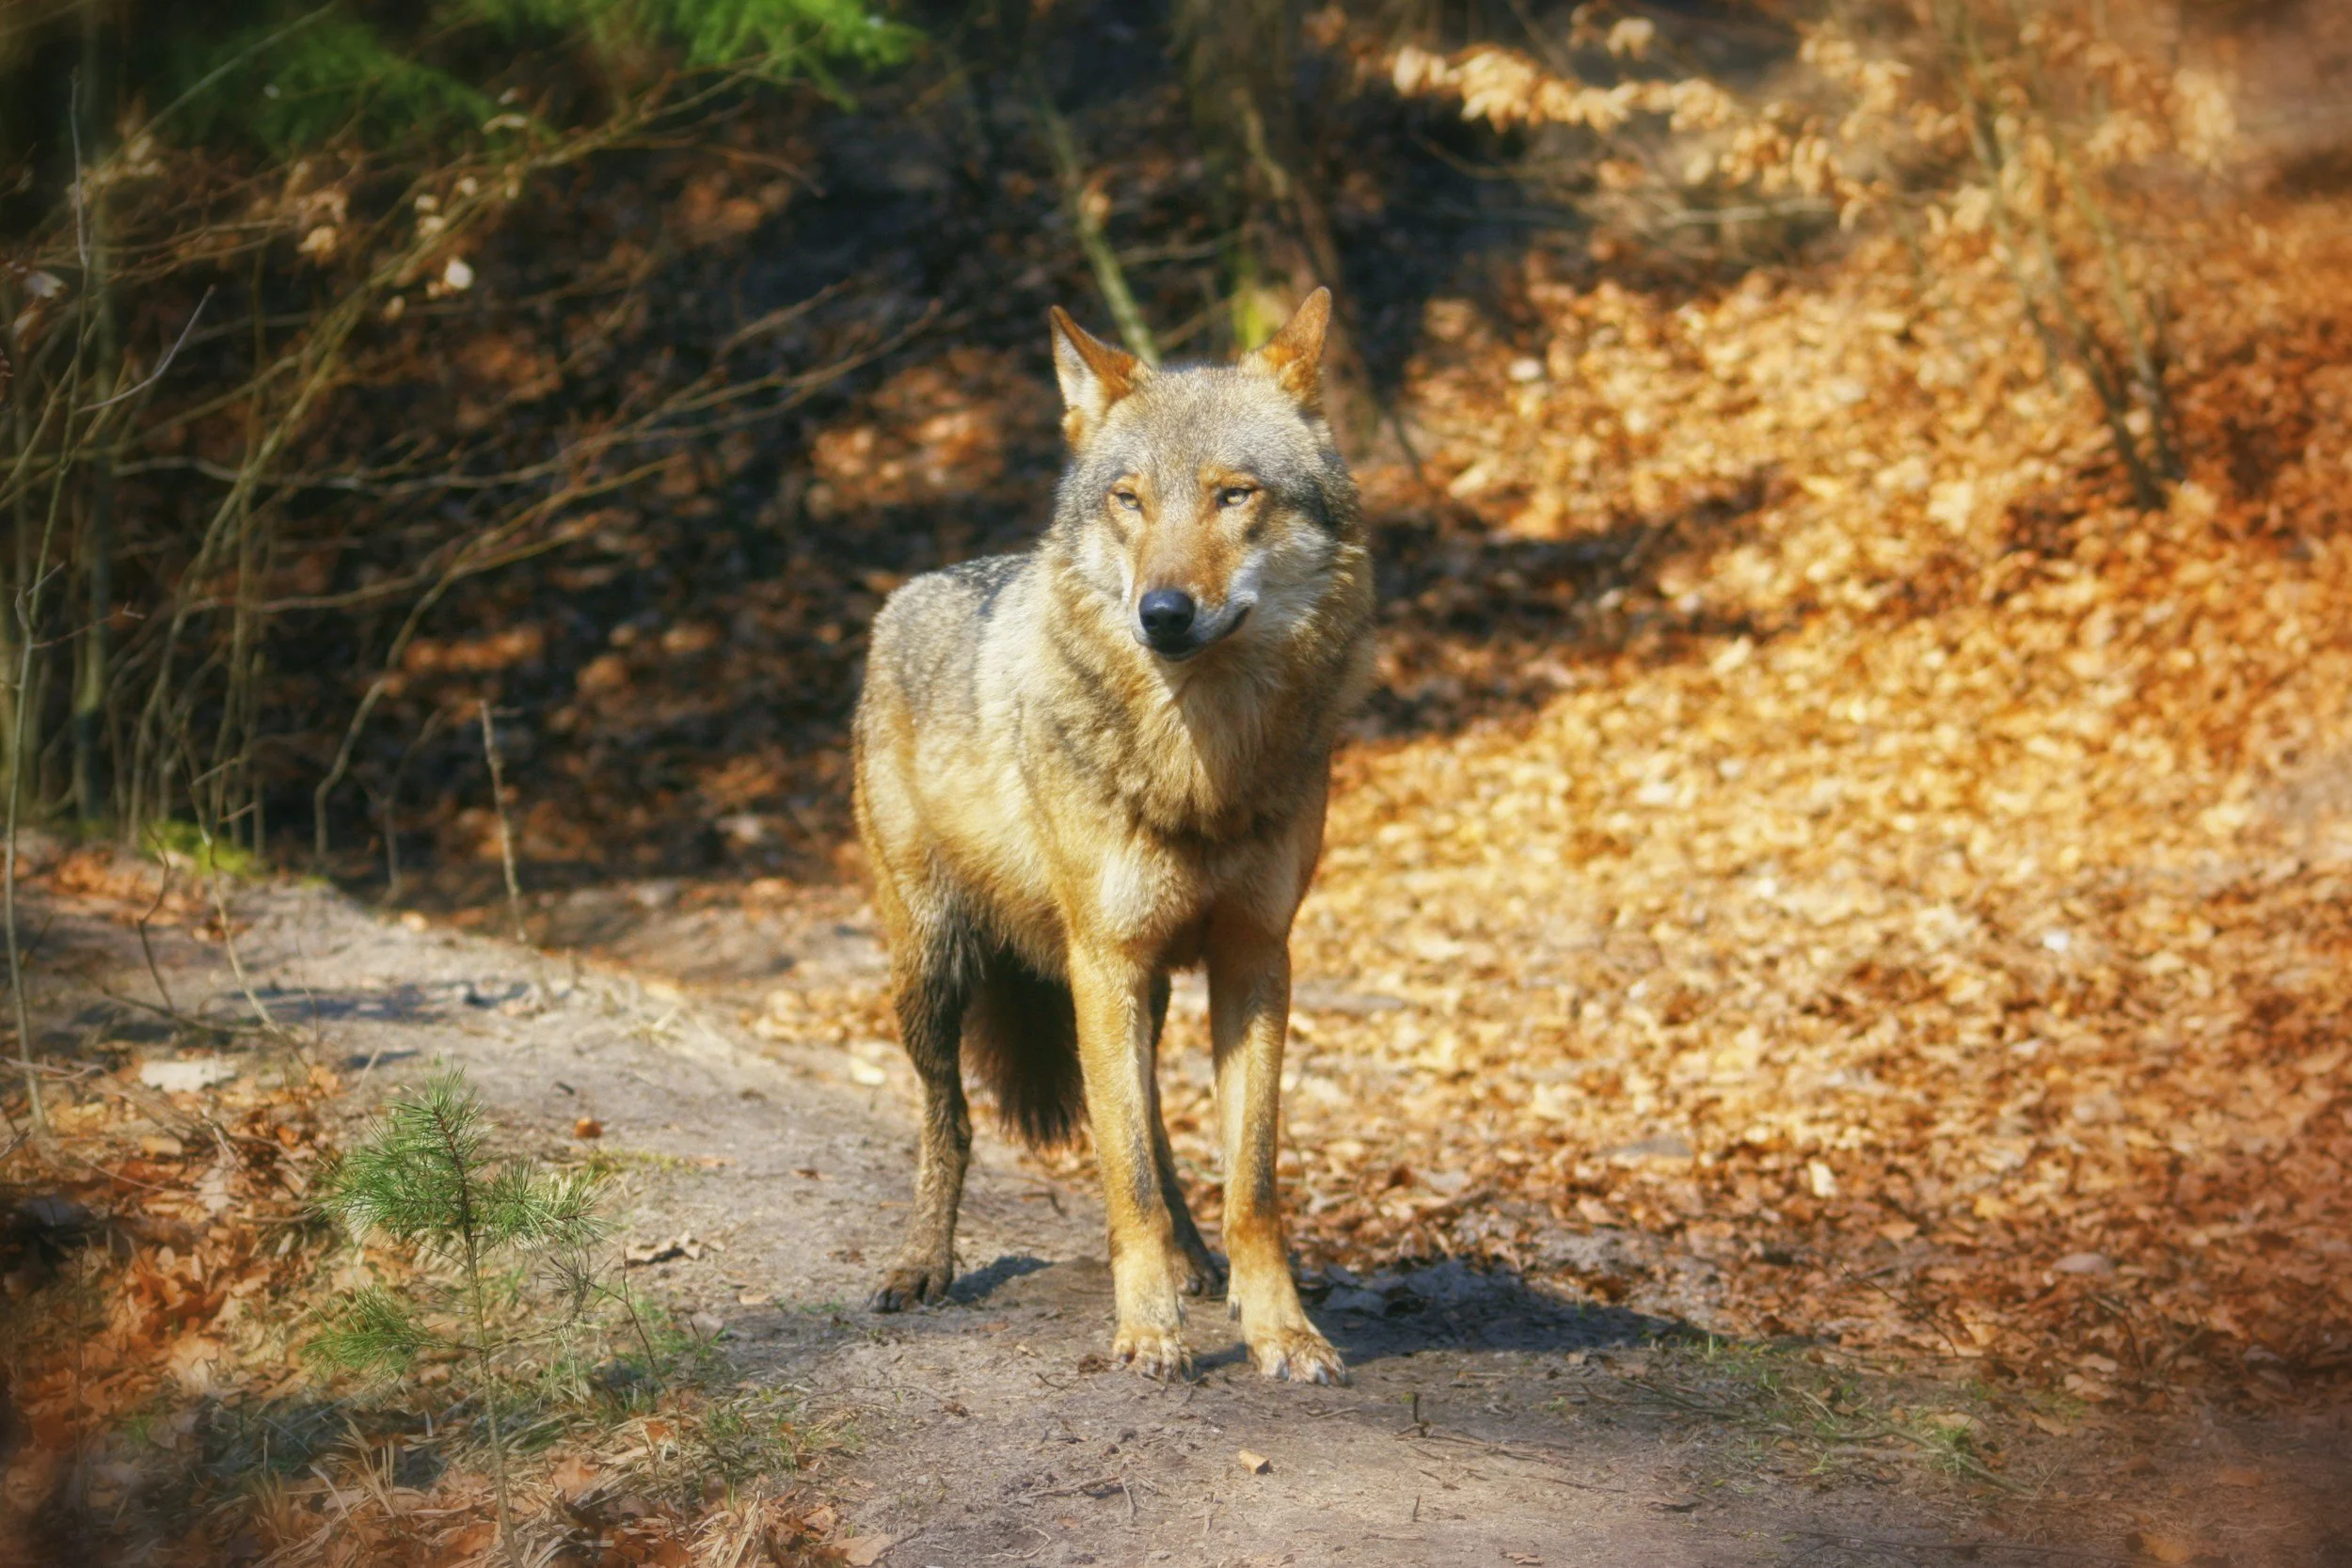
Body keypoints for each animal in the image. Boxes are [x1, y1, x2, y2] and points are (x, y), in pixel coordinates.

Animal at [850, 289, 1374, 1384]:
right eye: (1129, 499)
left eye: (1234, 495)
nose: (1162, 612)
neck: (1202, 762)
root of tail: (905, 595)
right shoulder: (1105, 960)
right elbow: (1121, 1172)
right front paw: (1145, 1334)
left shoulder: (1254, 958)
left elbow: (1251, 1181)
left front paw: (1280, 1329)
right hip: (936, 970)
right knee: (951, 1124)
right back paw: (924, 1266)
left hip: (1148, 986)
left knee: (1154, 1130)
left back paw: (1193, 1262)